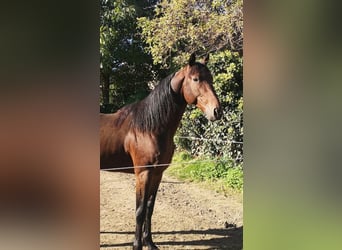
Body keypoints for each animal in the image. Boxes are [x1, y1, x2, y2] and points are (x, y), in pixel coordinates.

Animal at [100, 53, 220, 250]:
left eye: (211, 78)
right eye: (195, 79)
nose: (217, 111)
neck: (150, 127)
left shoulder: (157, 174)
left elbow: (150, 208)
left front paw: (149, 243)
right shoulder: (143, 173)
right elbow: (140, 211)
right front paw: (137, 245)